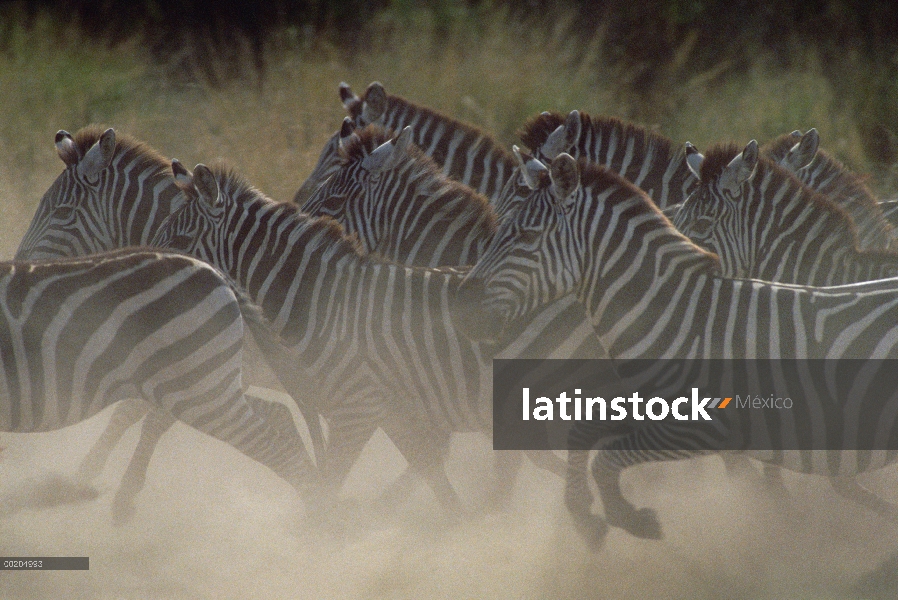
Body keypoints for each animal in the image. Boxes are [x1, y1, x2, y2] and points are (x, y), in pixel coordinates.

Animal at [0, 247, 318, 520]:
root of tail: (216, 273)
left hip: (200, 391)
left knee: (277, 448)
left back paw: (315, 532)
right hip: (201, 384)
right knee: (279, 421)